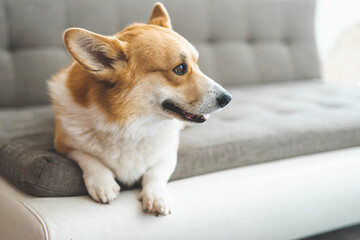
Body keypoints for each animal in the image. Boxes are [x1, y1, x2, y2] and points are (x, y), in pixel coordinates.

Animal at [48, 1, 231, 216]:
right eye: (180, 69)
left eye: (197, 63)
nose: (228, 98)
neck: (132, 123)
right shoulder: (63, 144)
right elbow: (87, 157)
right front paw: (103, 183)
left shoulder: (169, 151)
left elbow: (155, 173)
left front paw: (157, 197)